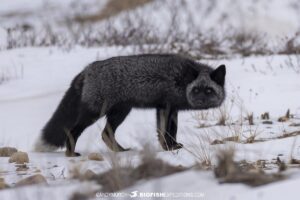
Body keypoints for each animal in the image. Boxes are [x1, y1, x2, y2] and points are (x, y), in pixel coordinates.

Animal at [34, 54, 225, 156]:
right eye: (196, 90)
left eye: (208, 91)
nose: (200, 101)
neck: (182, 79)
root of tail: (87, 69)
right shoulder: (166, 107)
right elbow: (165, 132)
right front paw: (168, 148)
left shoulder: (169, 109)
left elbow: (170, 131)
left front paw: (171, 146)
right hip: (95, 113)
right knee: (74, 131)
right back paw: (71, 154)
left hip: (120, 111)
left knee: (106, 134)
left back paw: (120, 151)